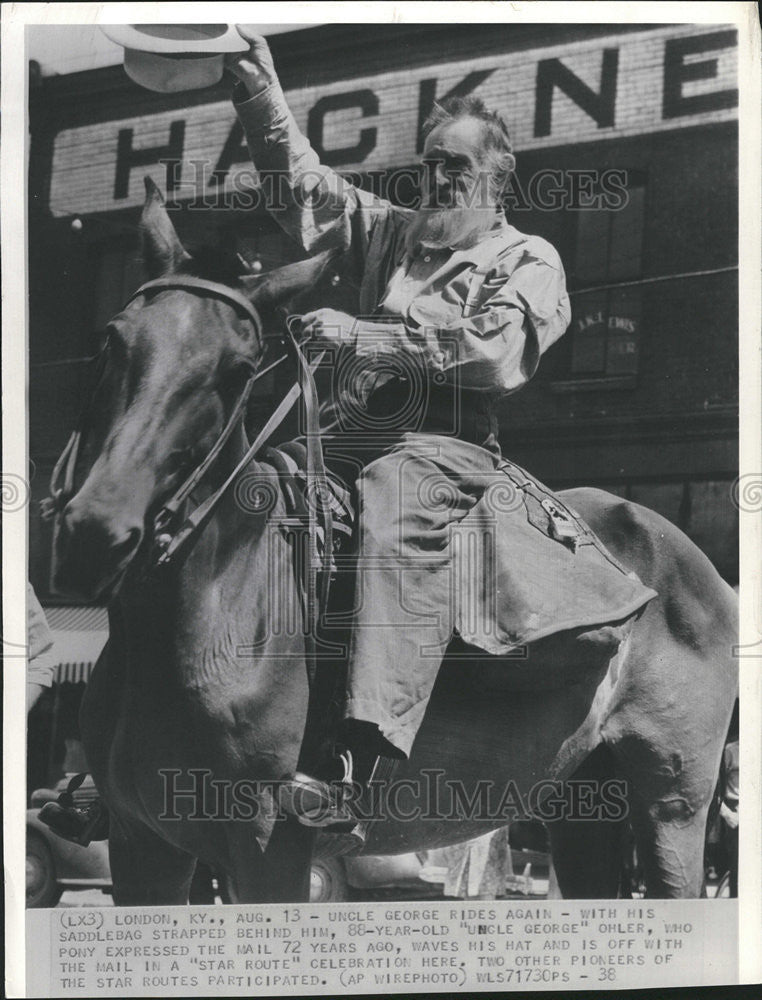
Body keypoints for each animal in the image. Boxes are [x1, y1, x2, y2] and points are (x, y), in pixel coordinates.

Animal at [52, 184, 736, 904]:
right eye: (112, 340)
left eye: (237, 369)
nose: (96, 532)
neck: (216, 607)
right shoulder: (141, 847)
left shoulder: (273, 852)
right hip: (583, 800)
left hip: (671, 803)